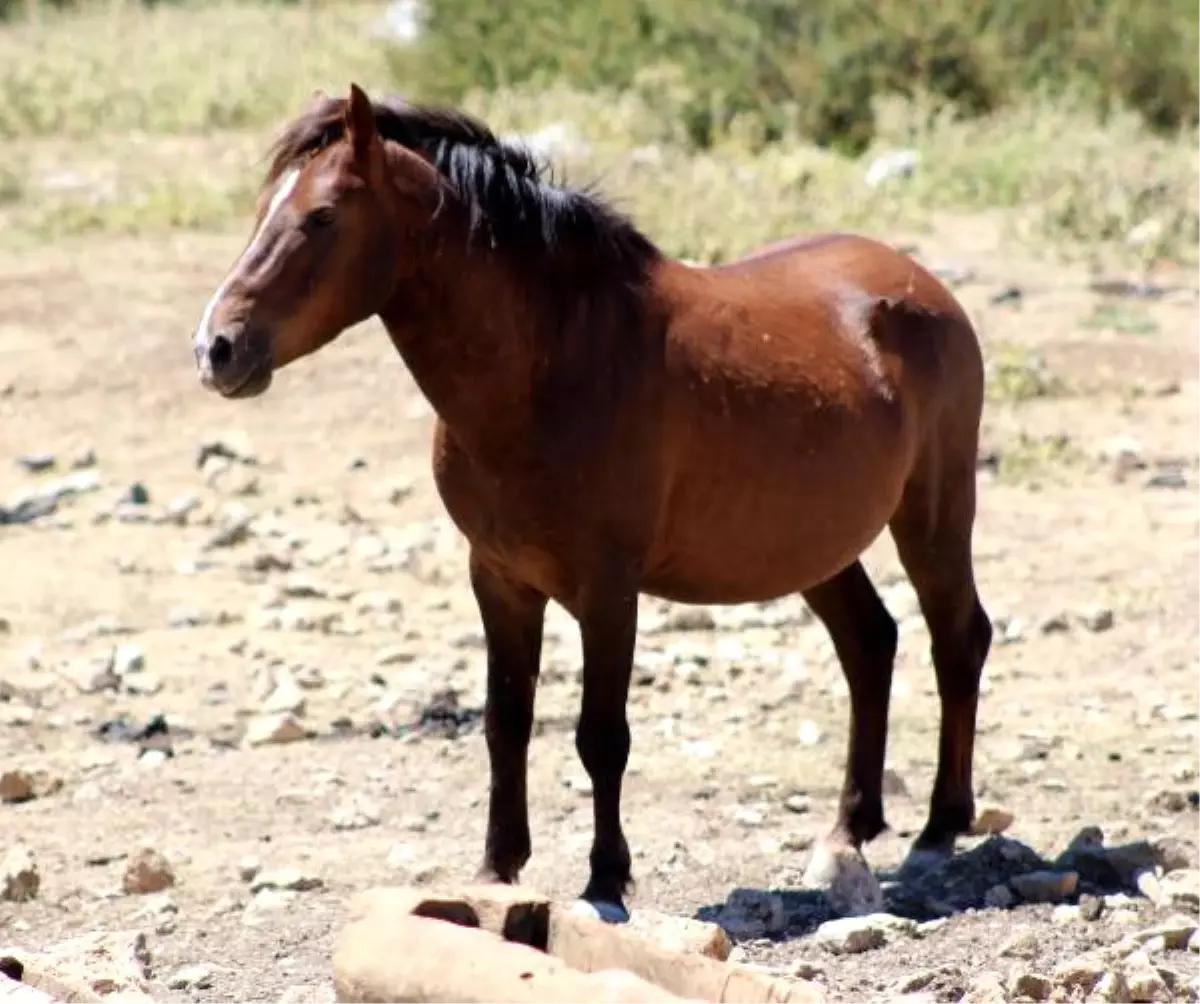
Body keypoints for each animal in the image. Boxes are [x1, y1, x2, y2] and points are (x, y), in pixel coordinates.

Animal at [187, 83, 993, 916]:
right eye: (263, 210)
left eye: (321, 217)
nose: (216, 348)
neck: (550, 366)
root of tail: (920, 285)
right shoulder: (500, 578)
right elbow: (506, 721)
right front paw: (497, 869)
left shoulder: (608, 591)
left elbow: (601, 735)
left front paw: (607, 877)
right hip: (814, 545)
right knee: (869, 644)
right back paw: (848, 832)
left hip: (933, 515)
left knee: (958, 639)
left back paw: (939, 829)